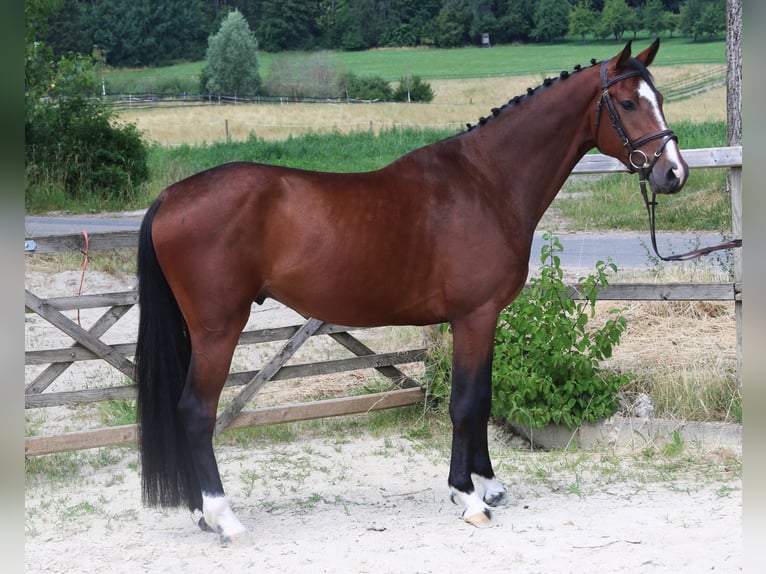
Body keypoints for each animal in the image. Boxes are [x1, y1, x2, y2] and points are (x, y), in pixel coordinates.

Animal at [135, 39, 688, 545]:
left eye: (660, 96)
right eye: (629, 103)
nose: (674, 173)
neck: (487, 182)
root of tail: (171, 196)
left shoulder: (484, 318)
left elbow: (483, 397)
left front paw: (488, 485)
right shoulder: (474, 315)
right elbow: (466, 402)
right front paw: (468, 498)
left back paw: (200, 513)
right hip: (218, 330)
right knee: (195, 413)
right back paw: (224, 518)